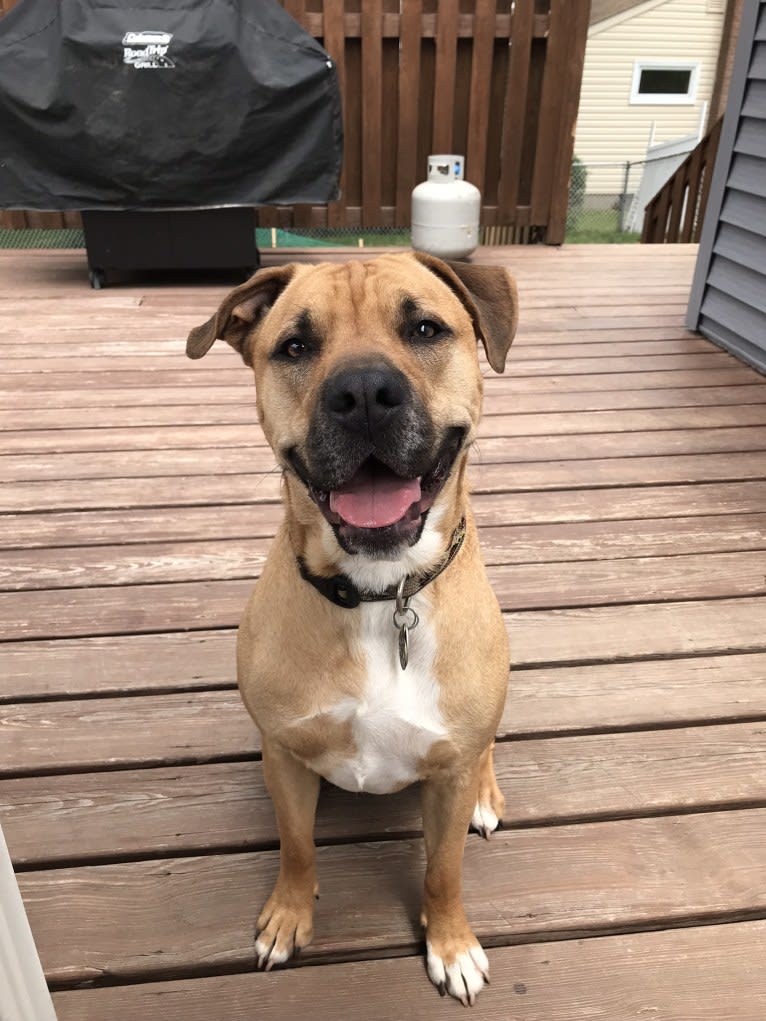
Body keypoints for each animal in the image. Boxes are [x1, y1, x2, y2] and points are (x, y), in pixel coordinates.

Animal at [186, 253, 518, 1004]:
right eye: (295, 347)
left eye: (425, 328)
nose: (364, 391)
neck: (378, 594)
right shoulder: (284, 755)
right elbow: (297, 845)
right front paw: (289, 914)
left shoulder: (447, 775)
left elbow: (443, 869)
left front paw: (450, 942)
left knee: (485, 750)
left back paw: (487, 795)